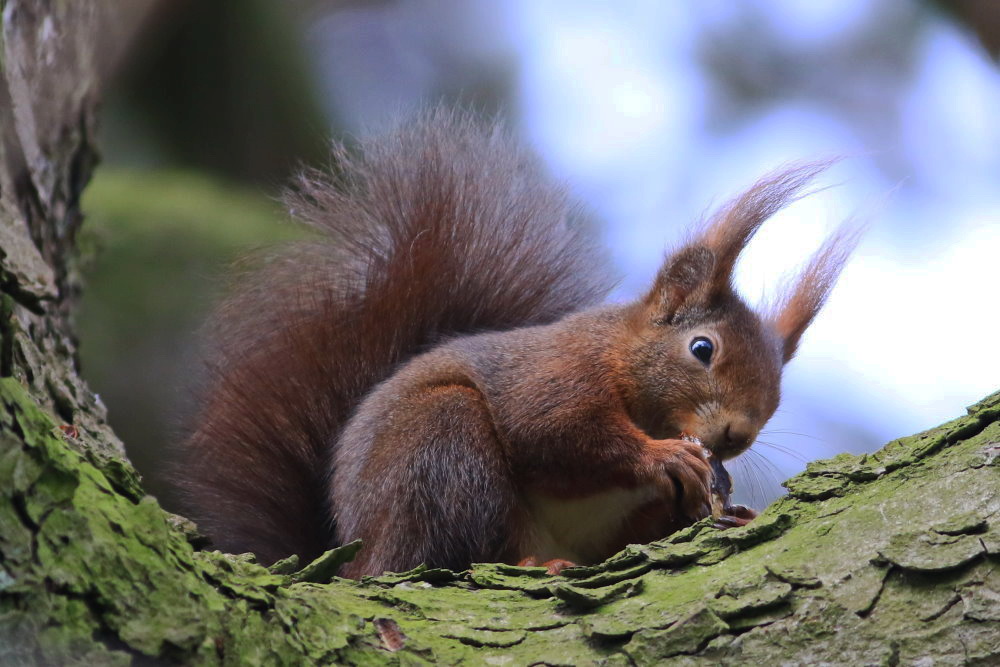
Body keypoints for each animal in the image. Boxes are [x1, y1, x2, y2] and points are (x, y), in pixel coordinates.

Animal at [176, 109, 856, 580]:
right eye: (702, 349)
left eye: (777, 389)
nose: (735, 436)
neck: (621, 361)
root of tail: (357, 553)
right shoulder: (558, 373)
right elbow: (556, 430)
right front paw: (663, 456)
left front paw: (715, 500)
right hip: (440, 449)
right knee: (466, 549)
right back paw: (530, 563)